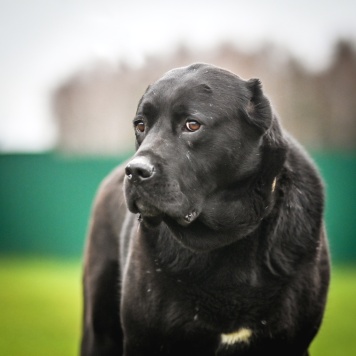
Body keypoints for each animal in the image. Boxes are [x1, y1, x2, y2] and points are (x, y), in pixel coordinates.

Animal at [81, 62, 330, 354]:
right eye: (140, 125)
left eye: (192, 125)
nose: (134, 171)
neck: (224, 237)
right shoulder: (144, 340)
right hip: (99, 329)